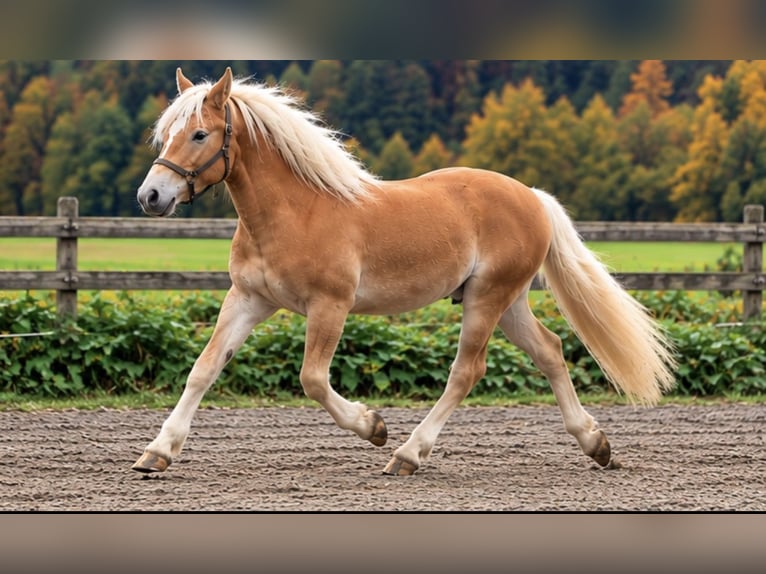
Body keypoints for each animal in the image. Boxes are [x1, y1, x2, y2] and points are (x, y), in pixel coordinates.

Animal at [133, 67, 676, 476]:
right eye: (167, 134)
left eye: (200, 133)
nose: (150, 196)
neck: (293, 212)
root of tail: (532, 197)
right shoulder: (248, 299)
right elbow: (204, 369)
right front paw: (157, 452)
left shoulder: (330, 307)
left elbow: (313, 379)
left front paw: (373, 426)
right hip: (507, 302)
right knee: (550, 350)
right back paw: (595, 444)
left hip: (487, 299)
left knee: (466, 371)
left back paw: (407, 454)